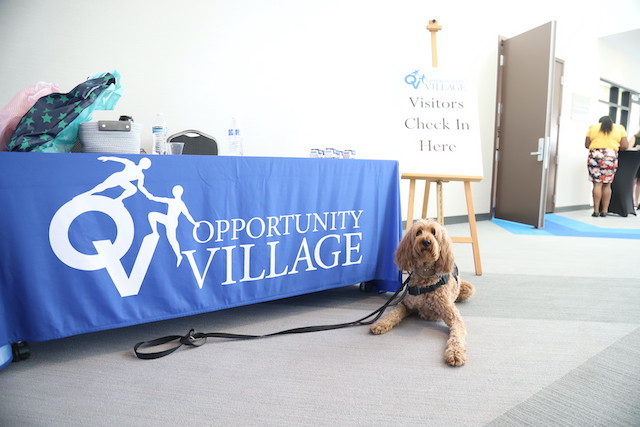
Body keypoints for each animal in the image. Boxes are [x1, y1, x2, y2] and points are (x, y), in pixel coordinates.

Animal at [370, 219, 476, 366]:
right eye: (418, 232)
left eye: (434, 232)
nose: (425, 241)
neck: (425, 278)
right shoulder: (406, 305)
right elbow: (393, 313)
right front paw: (381, 323)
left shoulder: (453, 317)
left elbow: (457, 335)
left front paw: (455, 353)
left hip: (467, 289)